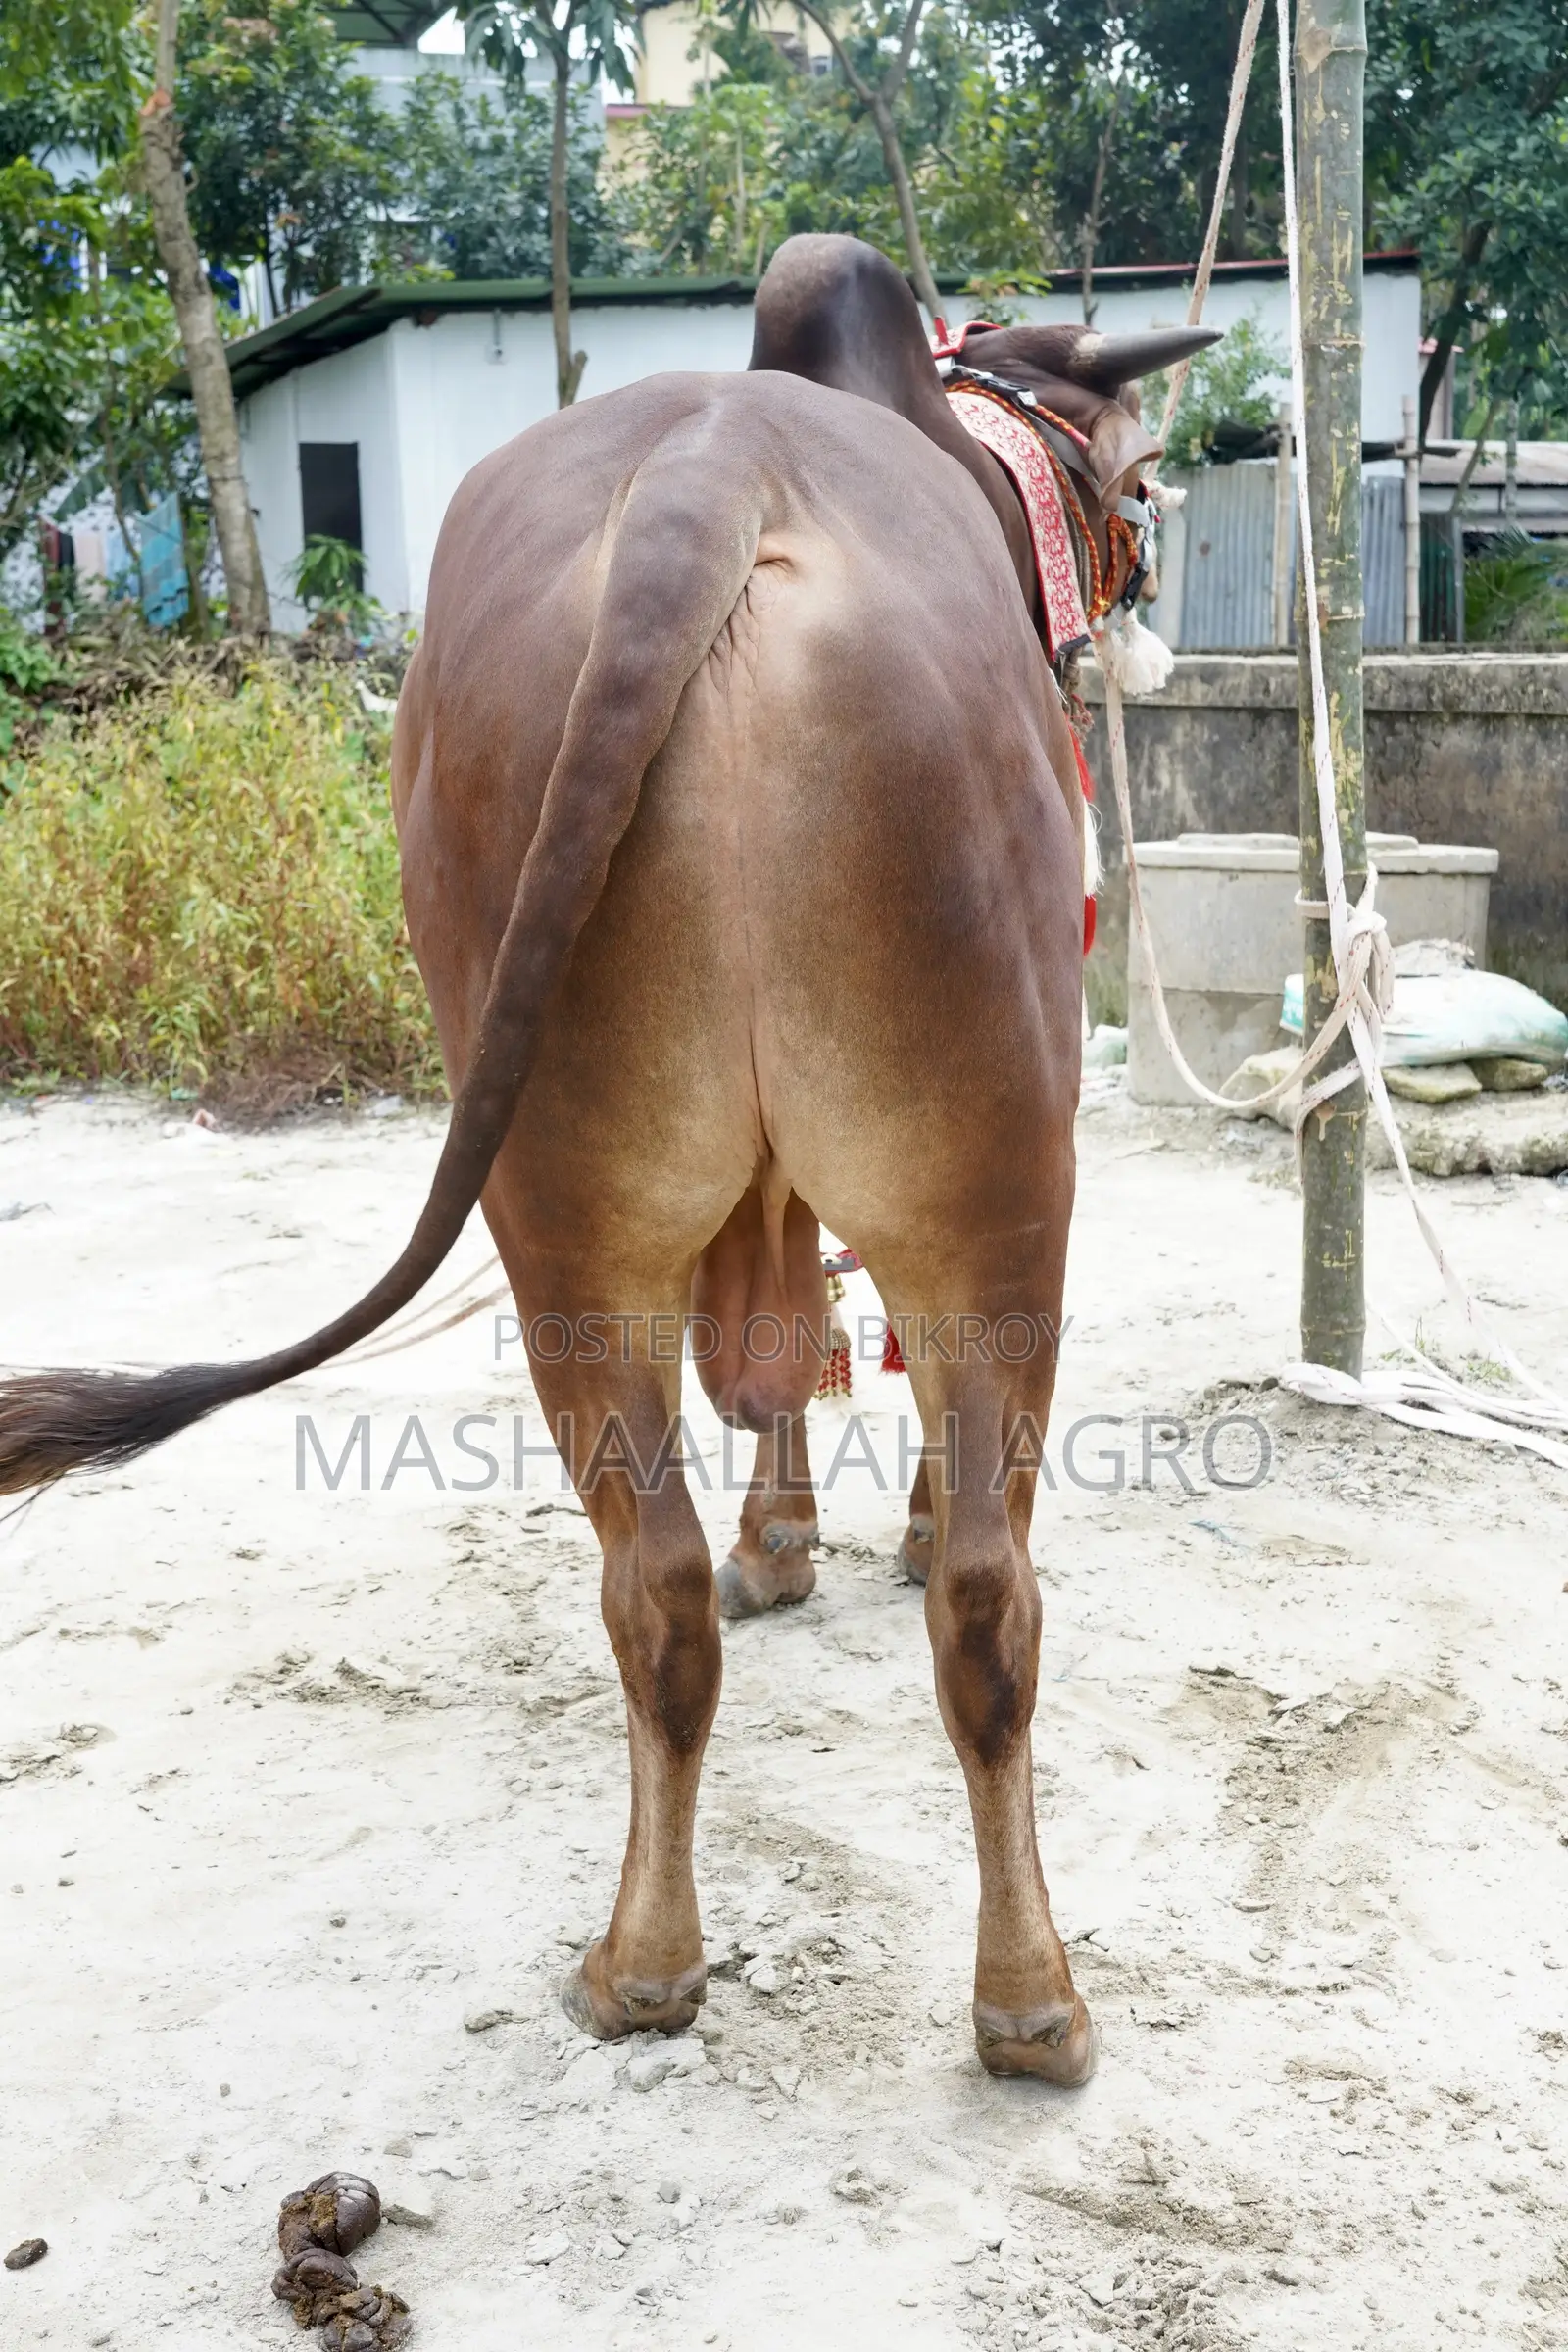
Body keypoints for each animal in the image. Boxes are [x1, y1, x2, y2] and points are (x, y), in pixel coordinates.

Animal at [0, 235, 1215, 2087]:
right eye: (1137, 477)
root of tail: (708, 483)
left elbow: (786, 1350)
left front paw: (778, 1536)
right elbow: (858, 1366)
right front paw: (841, 1531)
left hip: (574, 1209)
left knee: (661, 1590)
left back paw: (653, 1960)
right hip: (1002, 1170)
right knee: (988, 1592)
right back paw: (1029, 2003)